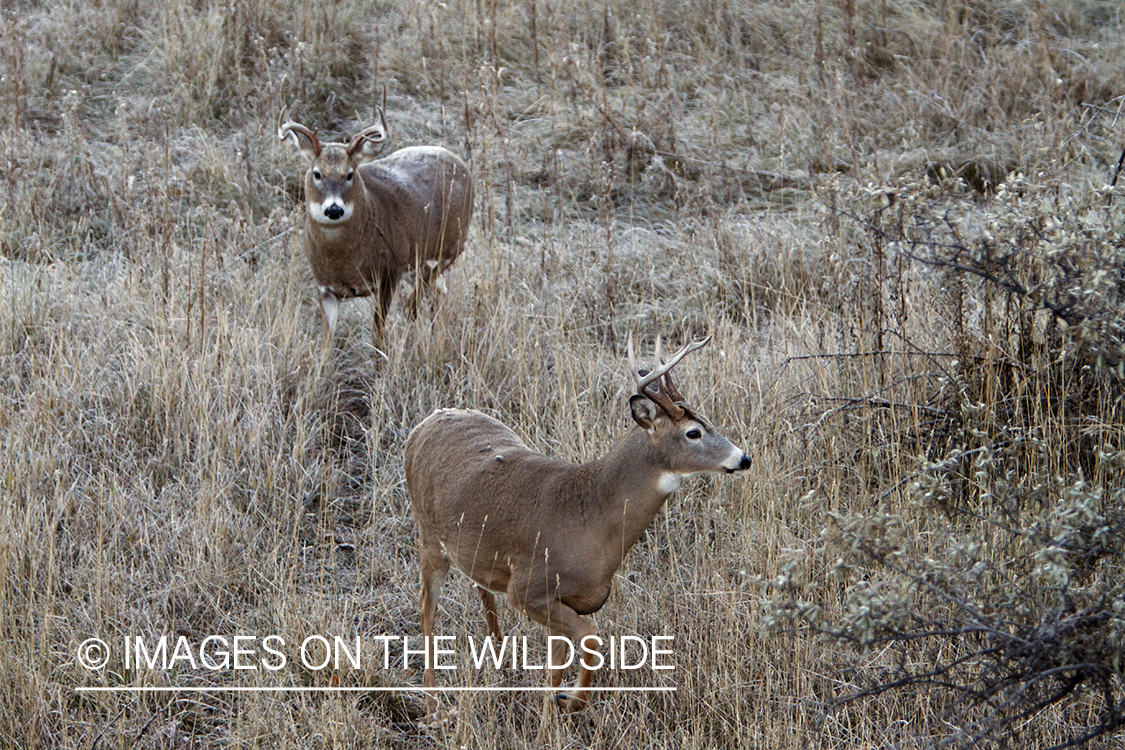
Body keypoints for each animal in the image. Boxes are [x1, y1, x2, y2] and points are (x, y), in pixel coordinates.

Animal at [283, 96, 477, 348]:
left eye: (349, 174)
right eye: (317, 173)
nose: (334, 209)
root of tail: (461, 164)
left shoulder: (388, 274)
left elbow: (378, 333)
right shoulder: (325, 288)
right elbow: (326, 342)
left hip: (451, 245)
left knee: (417, 300)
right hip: (421, 262)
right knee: (438, 291)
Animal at [400, 337, 751, 715]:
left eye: (709, 421)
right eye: (693, 432)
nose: (743, 458)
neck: (593, 517)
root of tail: (425, 423)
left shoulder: (569, 599)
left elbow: (557, 664)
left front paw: (553, 708)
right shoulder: (528, 589)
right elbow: (592, 638)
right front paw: (570, 700)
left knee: (480, 588)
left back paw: (501, 662)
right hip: (428, 536)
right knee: (427, 608)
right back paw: (433, 704)